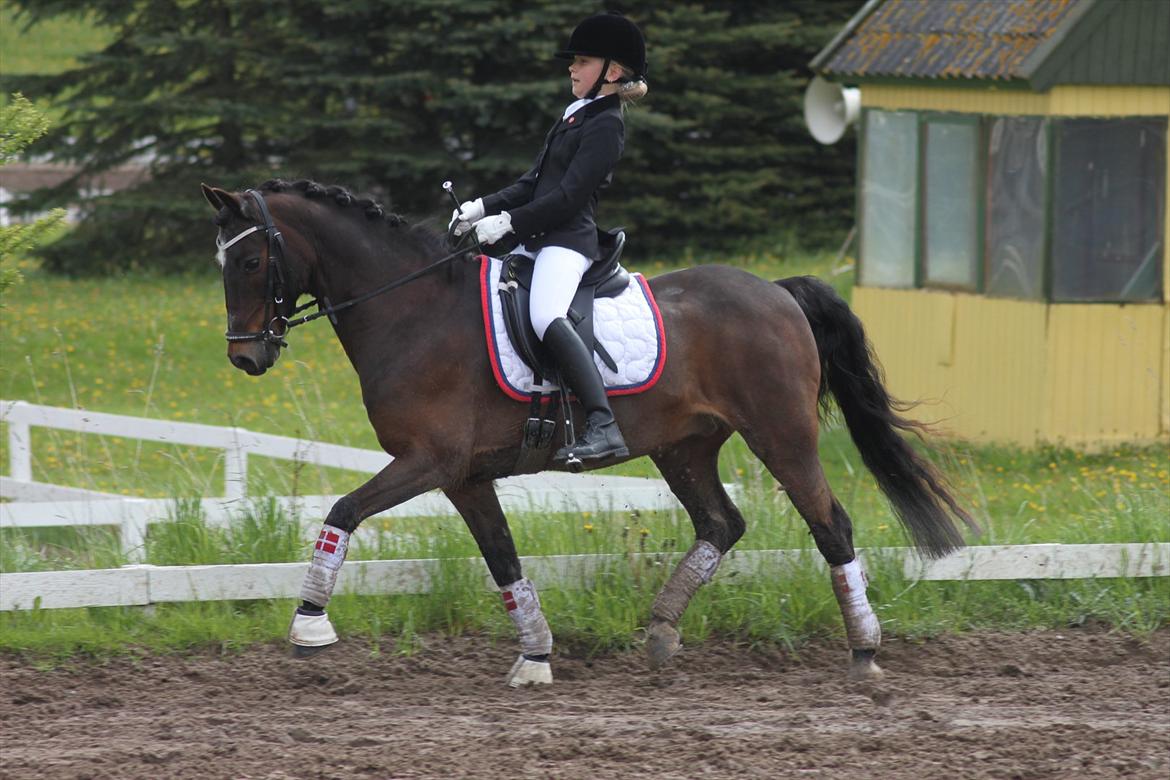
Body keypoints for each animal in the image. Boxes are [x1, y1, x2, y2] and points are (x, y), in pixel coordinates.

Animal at [201, 178, 976, 685]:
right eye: (222, 263)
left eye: (250, 260)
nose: (245, 357)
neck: (411, 308)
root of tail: (778, 292)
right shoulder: (465, 477)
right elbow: (503, 560)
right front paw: (536, 655)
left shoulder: (430, 461)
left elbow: (340, 512)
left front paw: (309, 627)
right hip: (684, 447)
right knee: (721, 524)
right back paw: (661, 633)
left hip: (781, 438)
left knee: (831, 525)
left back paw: (865, 652)